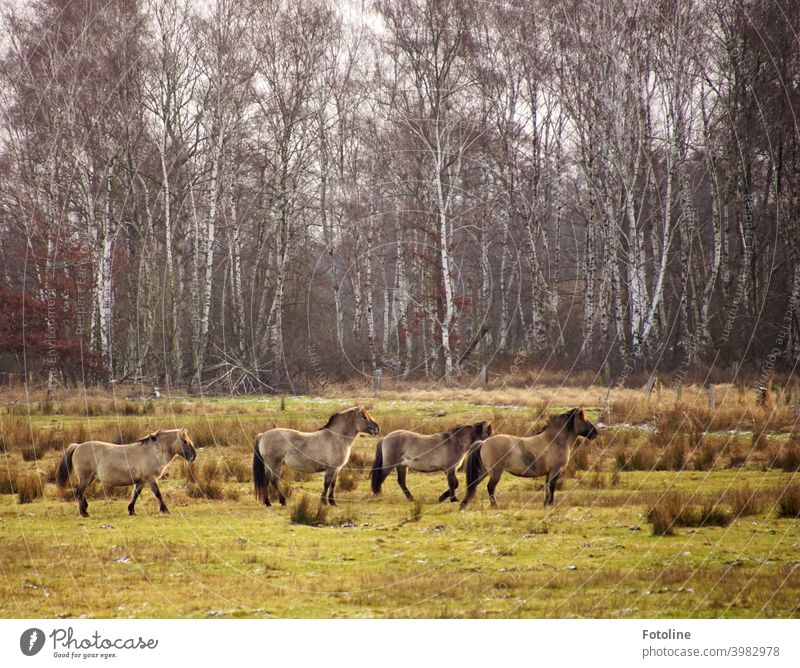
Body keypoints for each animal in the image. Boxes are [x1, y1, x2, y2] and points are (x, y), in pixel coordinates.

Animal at [55, 428, 197, 516]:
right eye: (185, 441)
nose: (193, 457)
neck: (152, 451)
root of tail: (78, 446)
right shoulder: (151, 479)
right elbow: (158, 493)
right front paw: (165, 510)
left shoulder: (141, 481)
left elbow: (135, 495)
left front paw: (131, 510)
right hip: (86, 478)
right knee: (79, 491)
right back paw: (84, 513)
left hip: (90, 478)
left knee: (79, 491)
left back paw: (85, 507)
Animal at [460, 408, 596, 512]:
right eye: (583, 419)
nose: (595, 432)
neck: (554, 440)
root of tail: (483, 442)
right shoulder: (555, 471)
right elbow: (552, 487)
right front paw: (551, 504)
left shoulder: (549, 473)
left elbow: (547, 488)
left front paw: (546, 504)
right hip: (495, 472)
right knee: (490, 487)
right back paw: (494, 506)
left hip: (483, 471)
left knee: (473, 485)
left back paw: (463, 505)